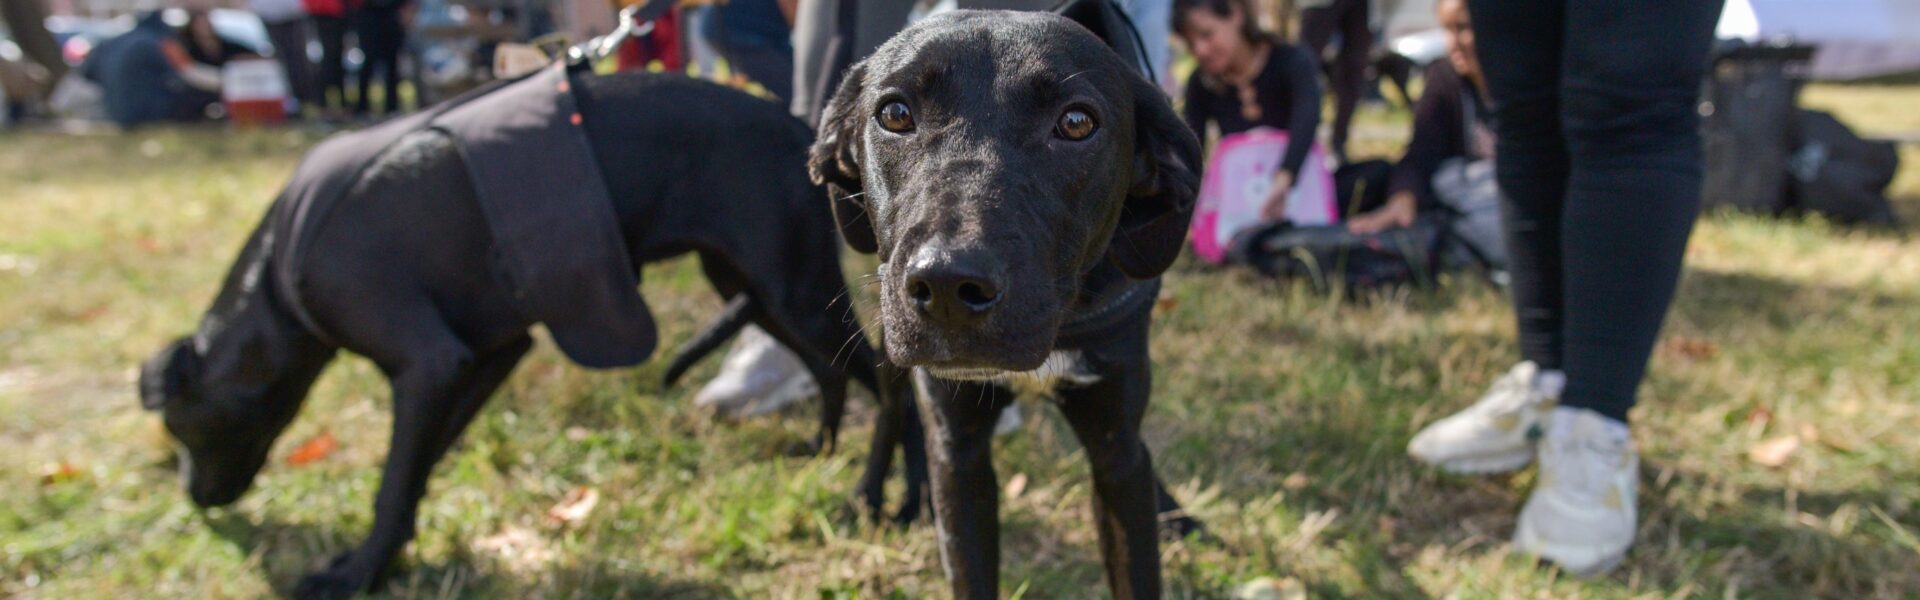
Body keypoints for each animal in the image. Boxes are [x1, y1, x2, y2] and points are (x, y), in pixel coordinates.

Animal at [139, 64, 880, 599]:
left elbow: (392, 480)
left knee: (885, 379)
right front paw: (390, 555)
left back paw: (877, 499)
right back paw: (822, 451)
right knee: (830, 370)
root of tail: (802, 124)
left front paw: (357, 574)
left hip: (794, 290)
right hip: (749, 284)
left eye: (179, 427)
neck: (277, 276)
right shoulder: (486, 355)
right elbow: (416, 468)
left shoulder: (428, 361)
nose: (194, 499)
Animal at [810, 4, 1206, 597]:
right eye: (895, 113)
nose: (947, 286)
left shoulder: (1115, 445)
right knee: (892, 409)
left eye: (1076, 123)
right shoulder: (961, 452)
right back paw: (873, 495)